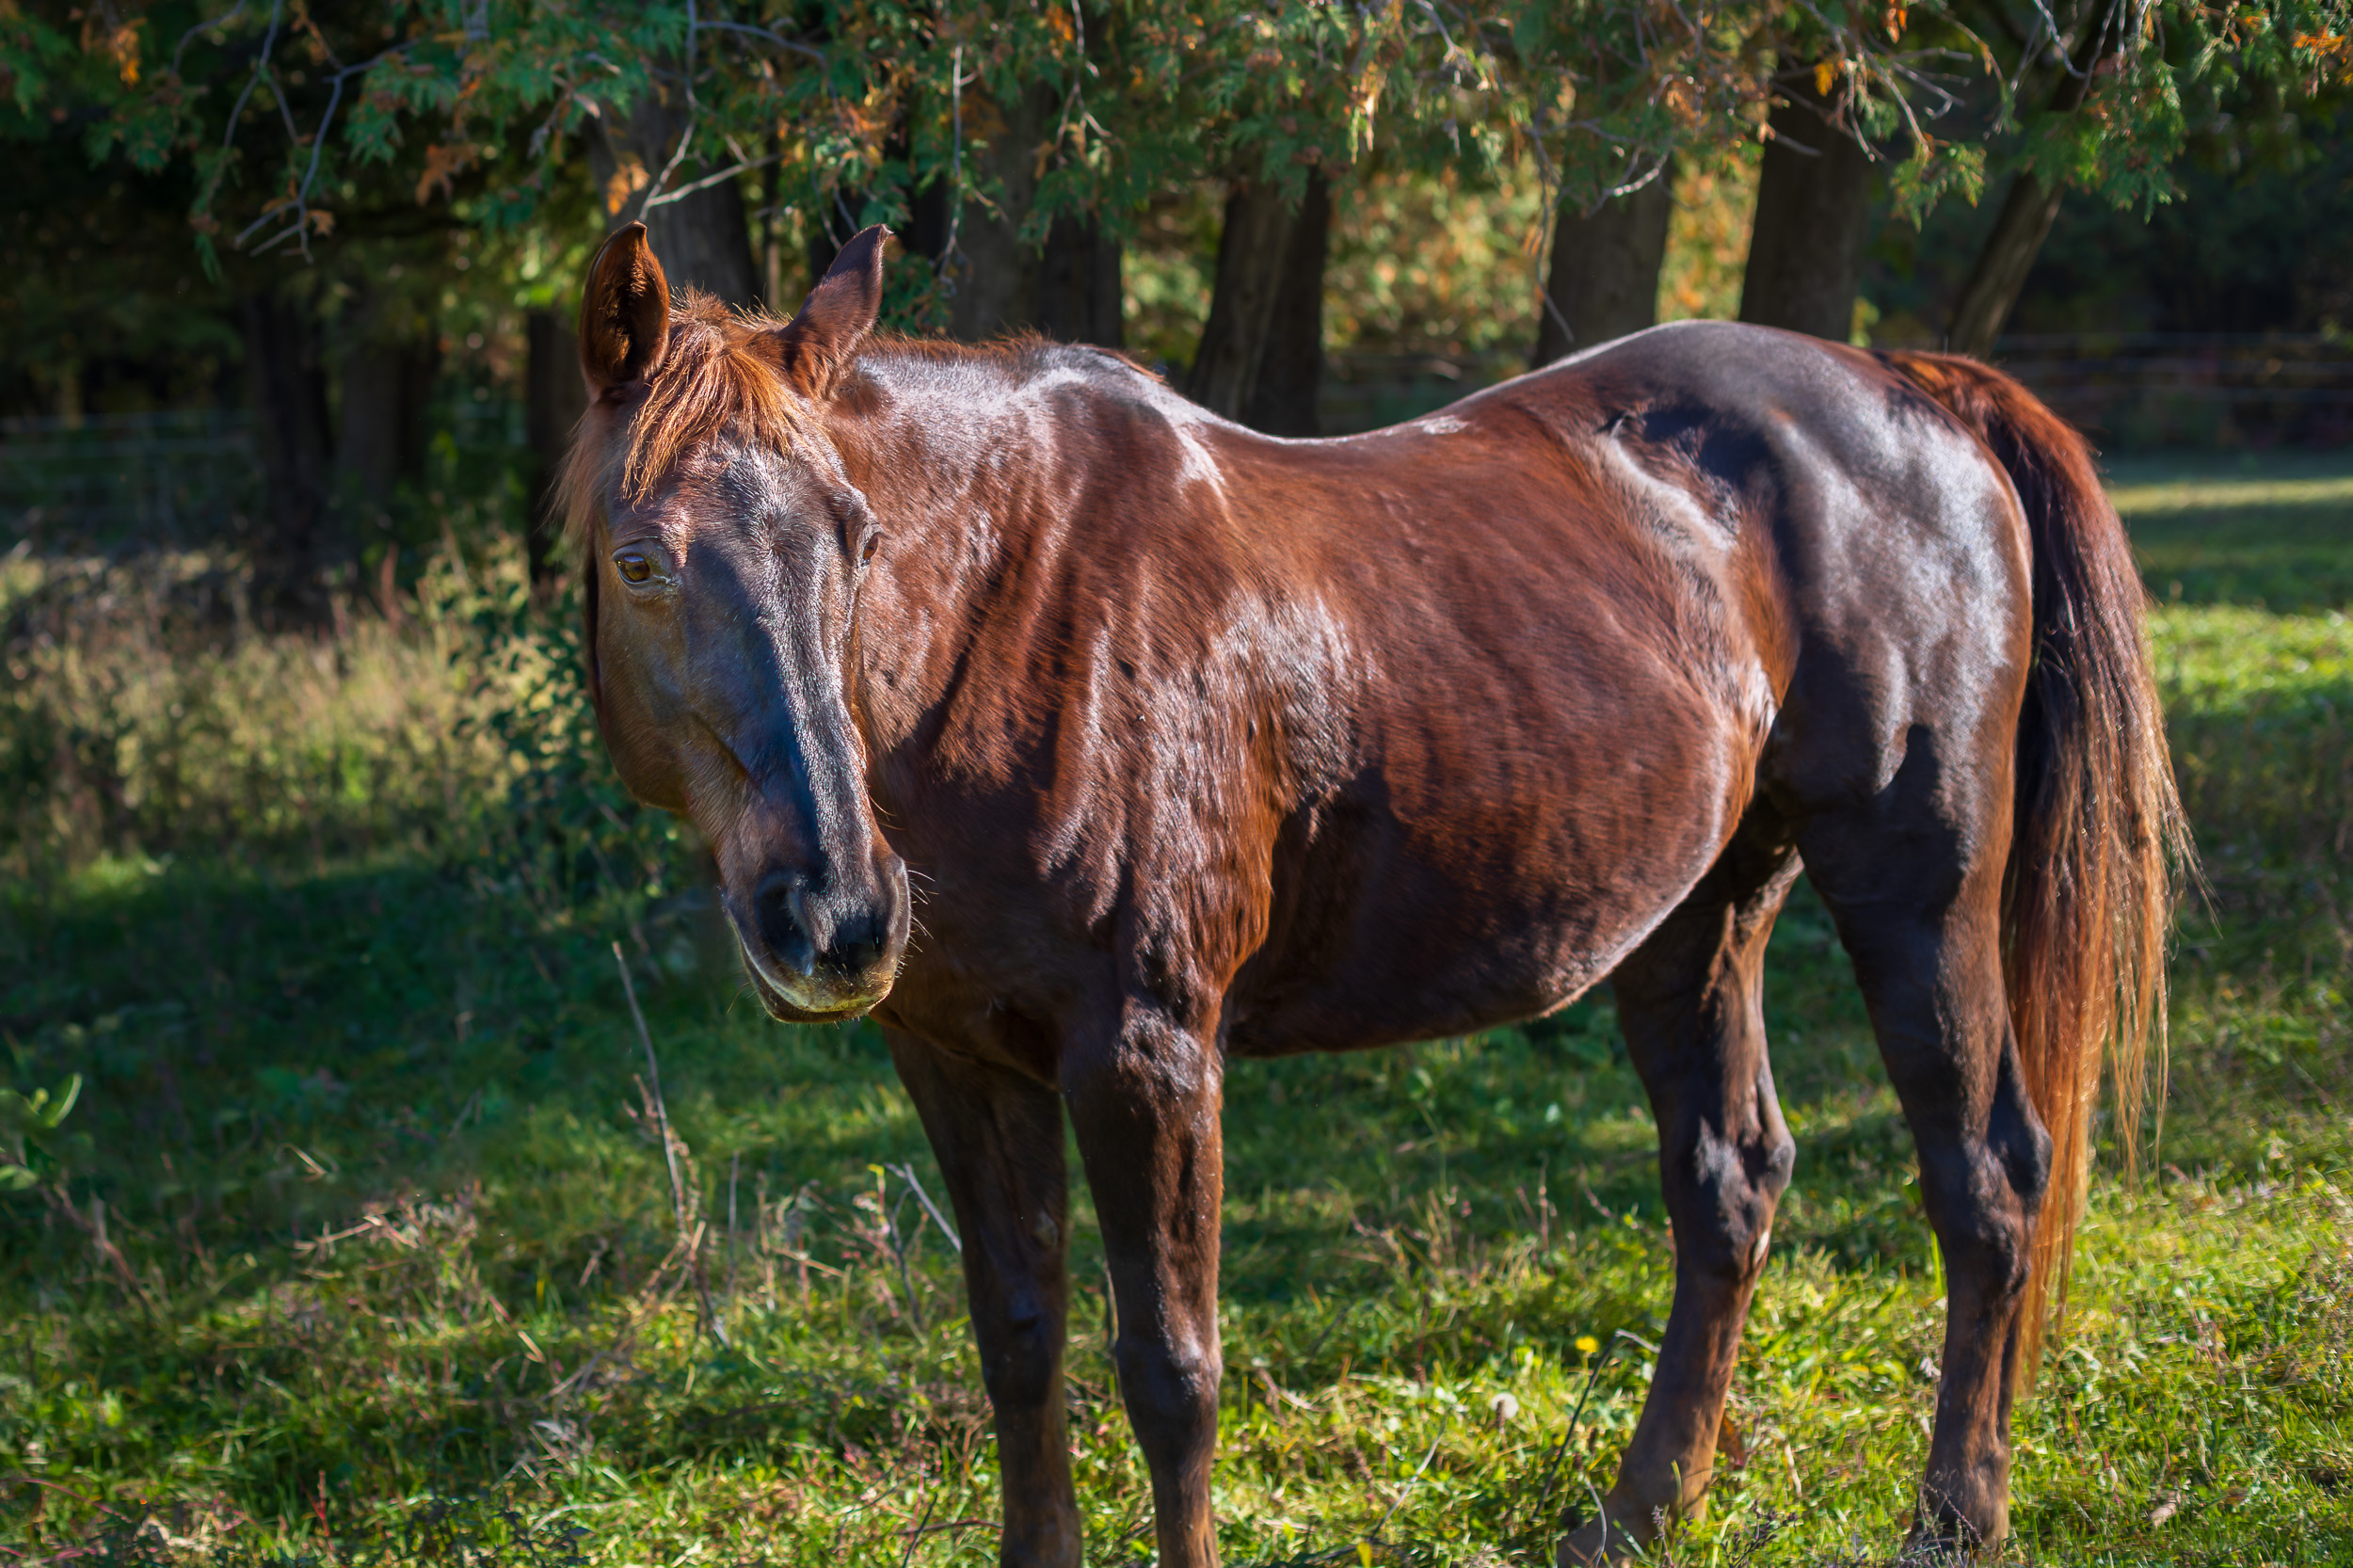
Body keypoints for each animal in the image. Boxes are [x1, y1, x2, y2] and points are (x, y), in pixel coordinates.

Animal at [558, 222, 2183, 1566]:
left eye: (860, 536)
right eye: (641, 558)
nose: (836, 911)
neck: (1015, 620)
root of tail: (1912, 392)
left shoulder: (1147, 1052)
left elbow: (1173, 1370)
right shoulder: (953, 1057)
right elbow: (1019, 1341)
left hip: (1920, 884)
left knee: (1987, 1176)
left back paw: (1956, 1516)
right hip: (1697, 916)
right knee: (1730, 1181)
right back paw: (1640, 1515)